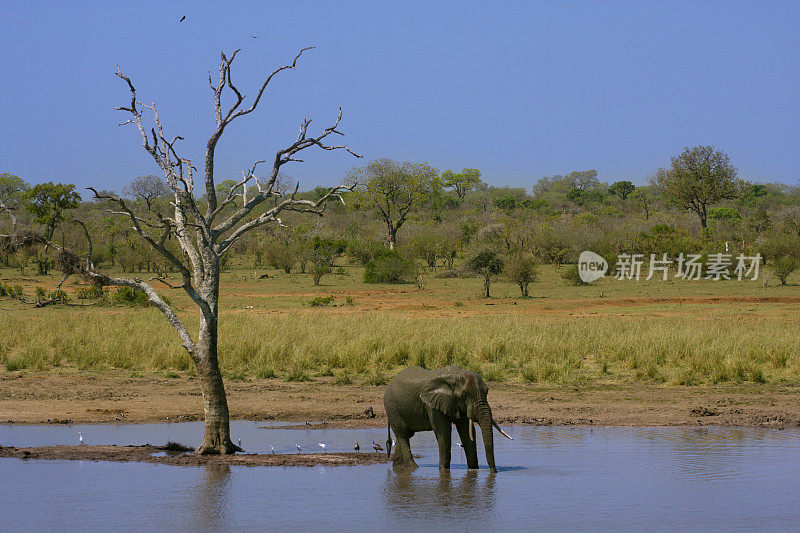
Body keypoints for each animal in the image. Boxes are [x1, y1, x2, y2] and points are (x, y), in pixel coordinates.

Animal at [382, 364, 512, 472]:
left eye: (487, 392)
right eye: (464, 394)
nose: (494, 472)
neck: (454, 376)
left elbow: (466, 432)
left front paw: (473, 470)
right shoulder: (433, 405)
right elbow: (443, 432)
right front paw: (444, 471)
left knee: (405, 435)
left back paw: (399, 467)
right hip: (392, 407)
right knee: (403, 434)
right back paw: (412, 467)